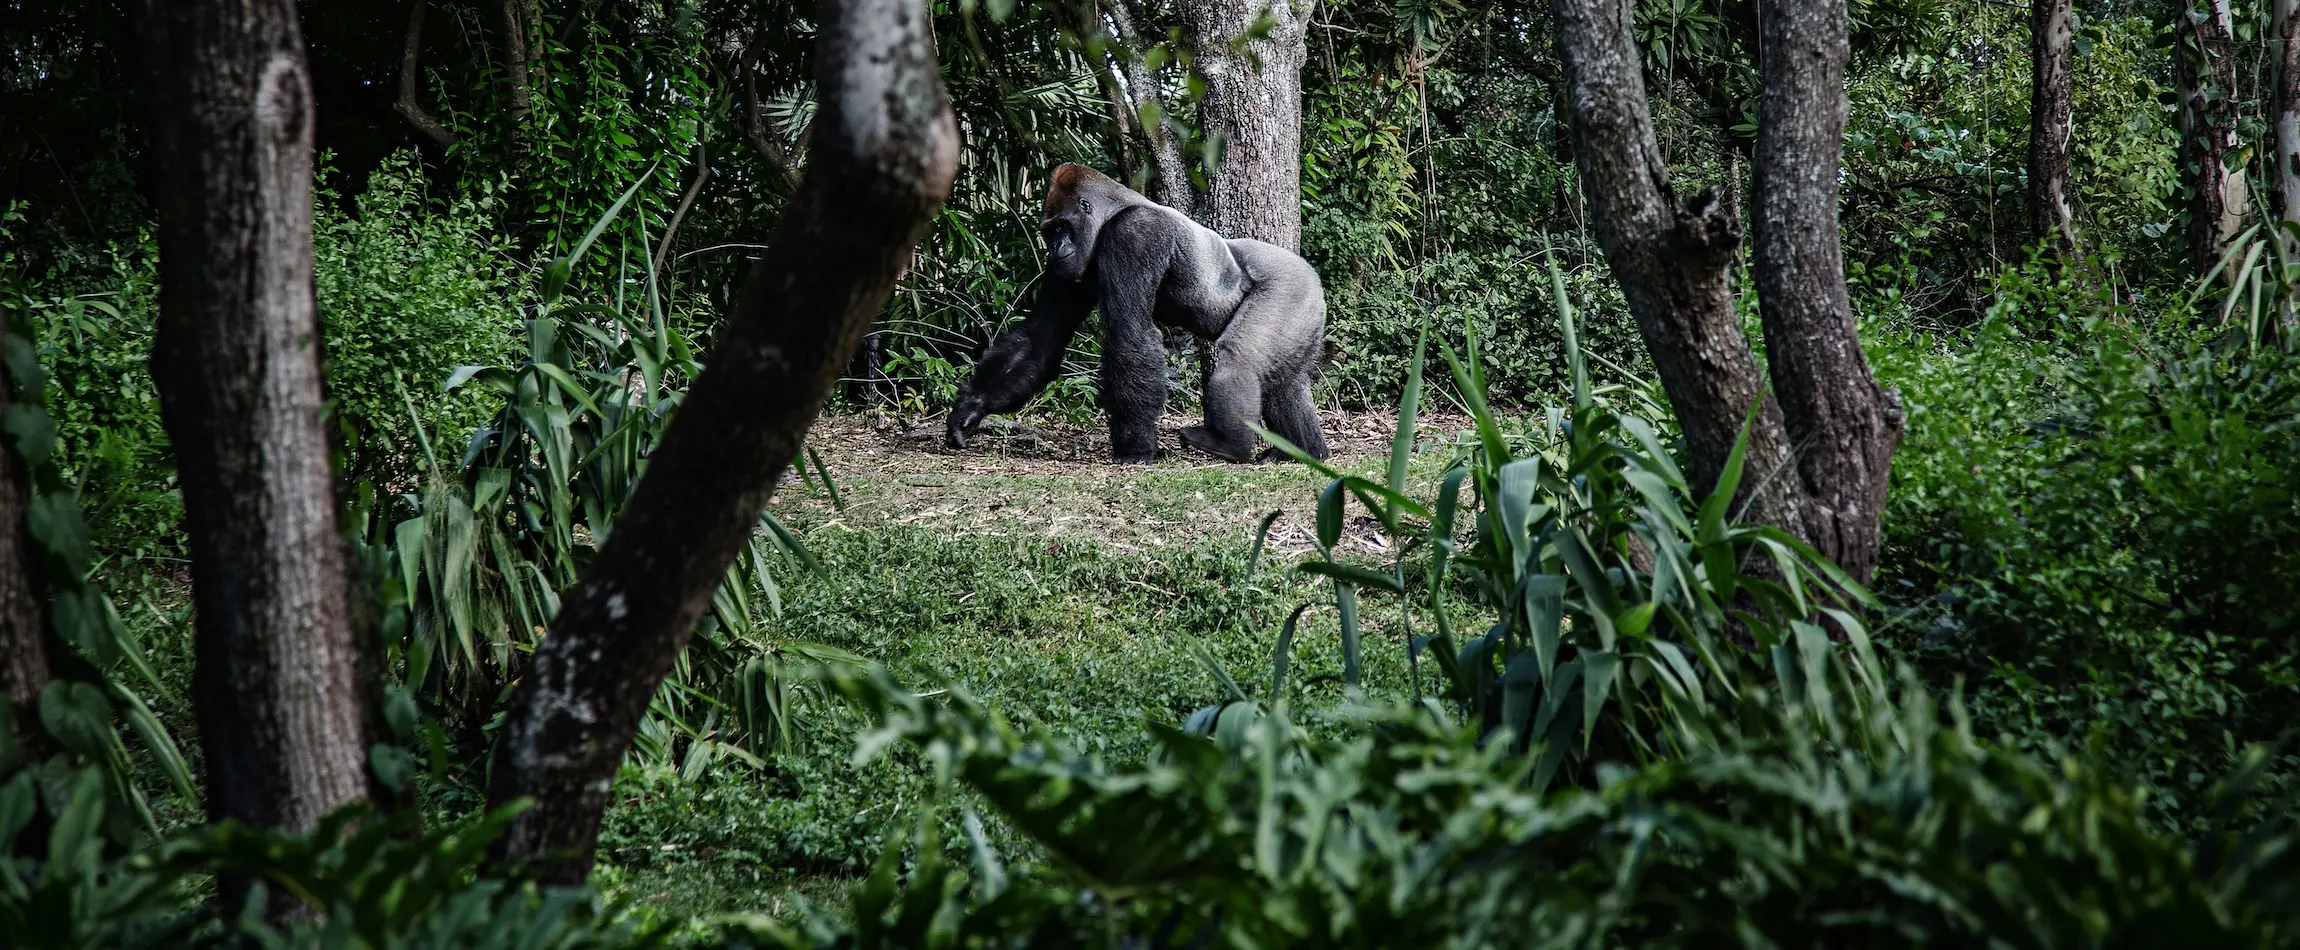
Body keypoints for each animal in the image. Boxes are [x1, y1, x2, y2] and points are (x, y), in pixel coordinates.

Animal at [945, 164, 1330, 463]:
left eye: (1061, 228)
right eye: (1049, 232)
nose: (1055, 249)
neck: (1113, 211)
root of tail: (1312, 275)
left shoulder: (1134, 234)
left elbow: (1129, 332)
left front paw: (1136, 448)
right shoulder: (1068, 269)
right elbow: (1042, 336)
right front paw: (971, 408)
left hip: (1290, 287)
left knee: (1241, 358)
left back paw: (1230, 445)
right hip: (1305, 308)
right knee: (1285, 382)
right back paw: (1305, 451)